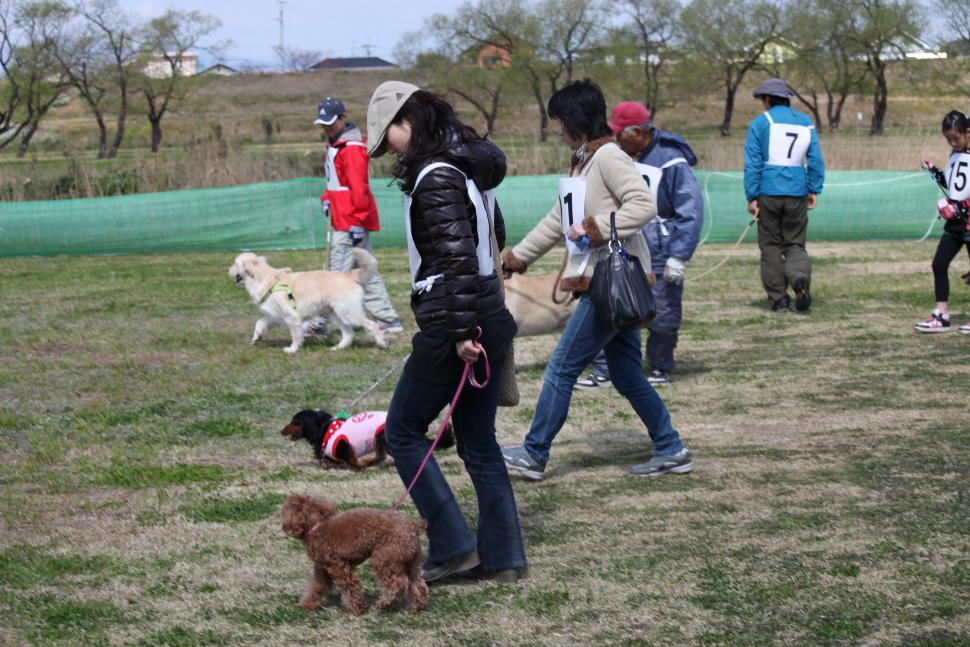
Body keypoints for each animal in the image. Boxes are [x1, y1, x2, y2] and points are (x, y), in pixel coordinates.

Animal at [229, 252, 388, 354]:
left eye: (235, 264)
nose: (227, 270)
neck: (264, 278)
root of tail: (347, 275)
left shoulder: (291, 316)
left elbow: (295, 335)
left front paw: (292, 349)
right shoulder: (276, 315)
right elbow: (260, 322)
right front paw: (256, 338)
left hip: (348, 313)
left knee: (372, 325)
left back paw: (382, 343)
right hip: (336, 315)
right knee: (349, 334)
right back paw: (337, 348)